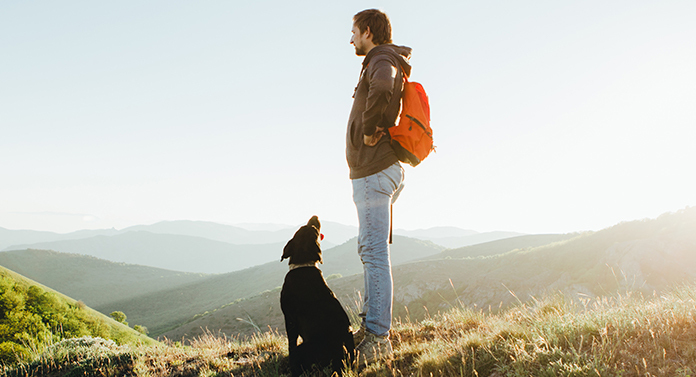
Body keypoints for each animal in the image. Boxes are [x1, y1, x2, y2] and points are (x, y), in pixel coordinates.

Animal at [278, 216, 354, 374]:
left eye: (313, 228)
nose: (315, 216)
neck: (304, 264)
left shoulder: (290, 319)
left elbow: (291, 344)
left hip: (304, 349)